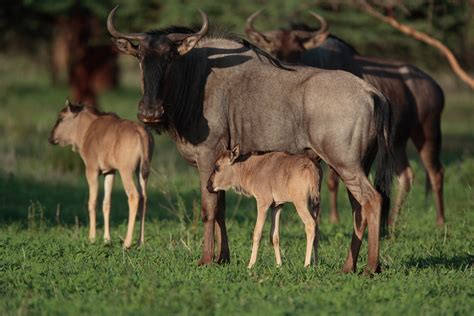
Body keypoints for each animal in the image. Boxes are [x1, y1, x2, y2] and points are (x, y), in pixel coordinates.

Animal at [47, 100, 154, 248]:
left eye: (61, 117)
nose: (50, 137)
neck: (88, 127)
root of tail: (141, 132)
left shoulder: (91, 171)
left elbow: (92, 202)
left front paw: (91, 238)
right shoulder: (109, 172)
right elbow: (106, 203)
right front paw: (107, 239)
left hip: (126, 172)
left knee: (134, 196)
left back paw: (127, 243)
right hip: (142, 173)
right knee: (144, 198)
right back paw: (140, 242)